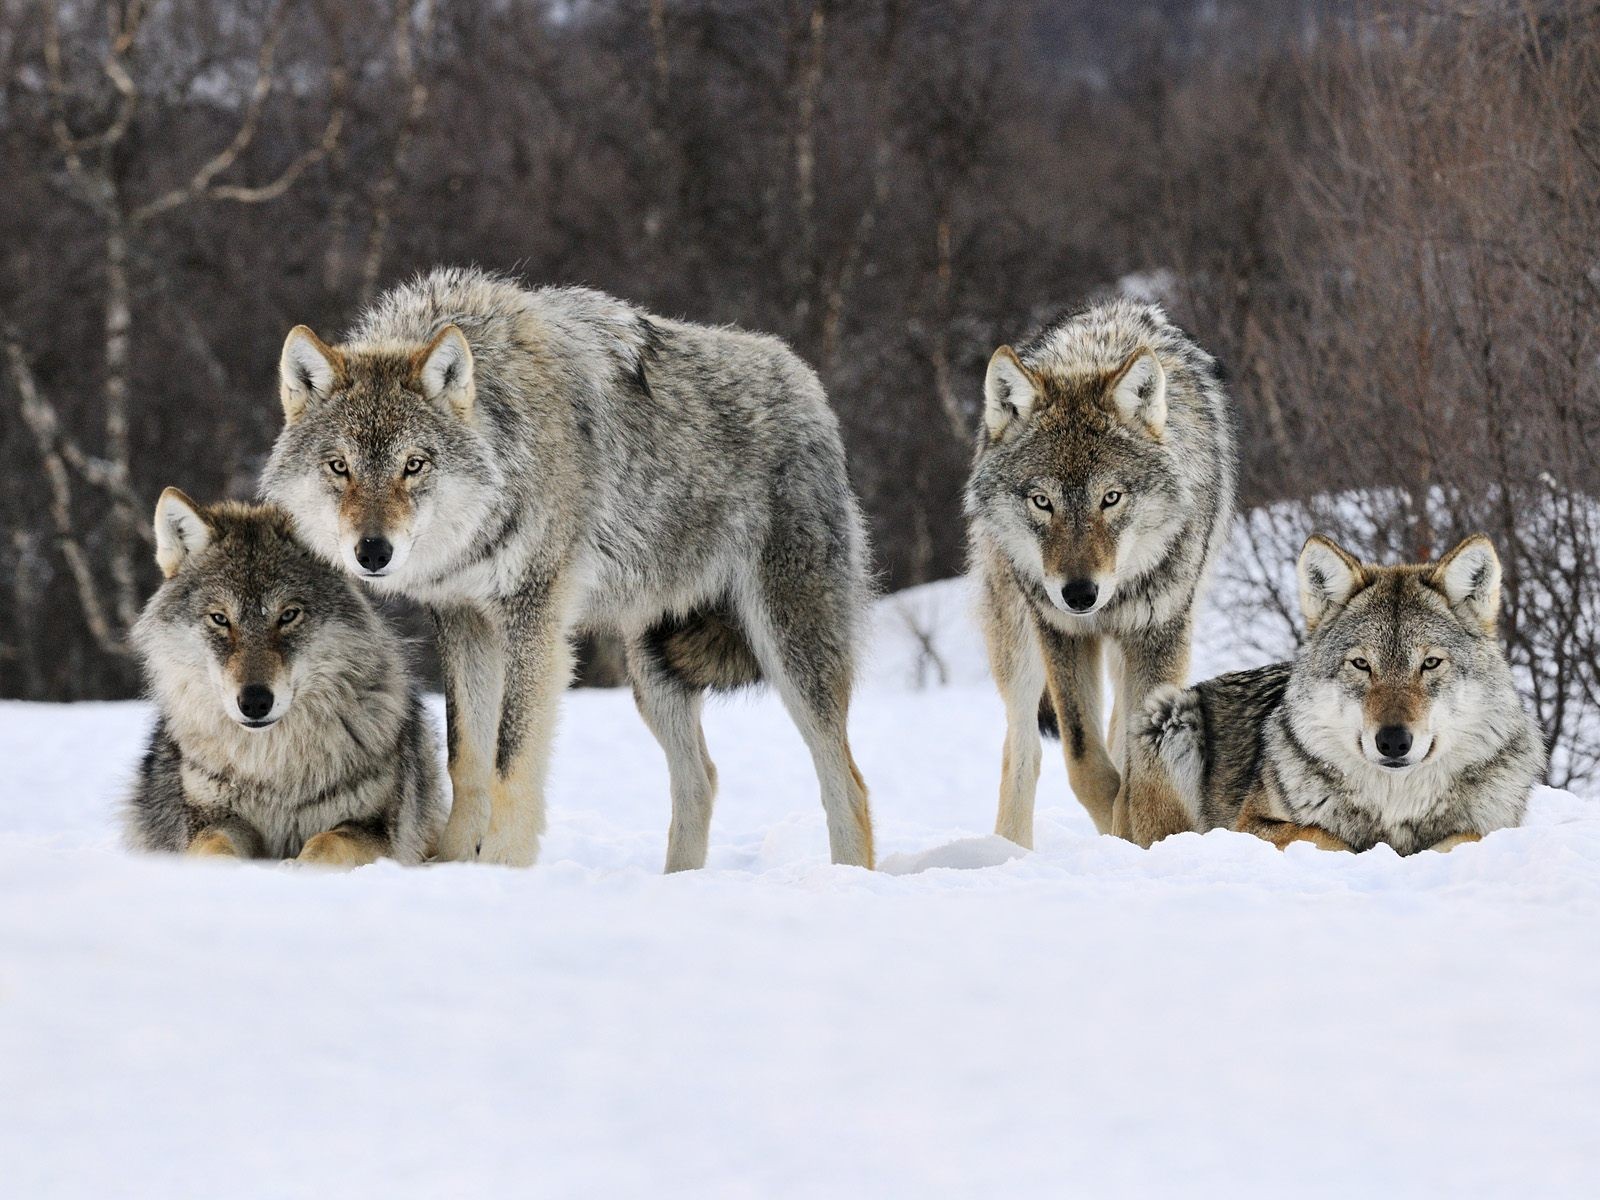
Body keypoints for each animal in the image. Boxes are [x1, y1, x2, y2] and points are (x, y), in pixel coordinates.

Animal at [123, 490, 445, 867]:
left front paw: (297, 868)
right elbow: (213, 848)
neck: (273, 769)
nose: (254, 702)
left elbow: (327, 842)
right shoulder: (213, 820)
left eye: (289, 615)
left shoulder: (373, 829)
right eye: (220, 619)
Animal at [260, 267, 874, 870]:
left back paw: (846, 876)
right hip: (653, 671)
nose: (373, 552)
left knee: (847, 782)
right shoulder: (463, 620)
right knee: (701, 779)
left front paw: (501, 867)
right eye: (339, 466)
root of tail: (807, 382)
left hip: (790, 649)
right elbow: (467, 757)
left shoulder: (534, 618)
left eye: (414, 465)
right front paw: (453, 864)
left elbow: (510, 759)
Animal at [966, 300, 1236, 848]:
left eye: (1110, 498)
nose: (1079, 593)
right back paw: (1009, 850)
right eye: (1041, 501)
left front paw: (1136, 832)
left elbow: (1137, 762)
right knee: (1022, 747)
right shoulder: (1061, 632)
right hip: (1017, 639)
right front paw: (1116, 825)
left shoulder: (1161, 632)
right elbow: (1084, 760)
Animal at [1141, 533, 1545, 853]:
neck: (1395, 804)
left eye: (1430, 663)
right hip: (1171, 715)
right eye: (1361, 664)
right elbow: (1325, 837)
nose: (1393, 741)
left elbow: (1467, 837)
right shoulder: (1249, 825)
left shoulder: (1494, 827)